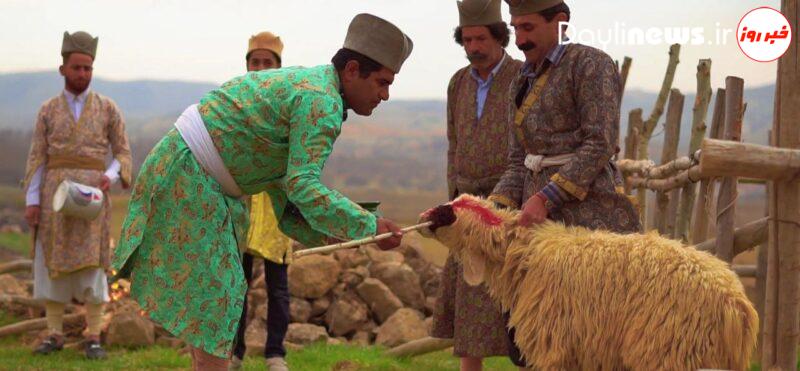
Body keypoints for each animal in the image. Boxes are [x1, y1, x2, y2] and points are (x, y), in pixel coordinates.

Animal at [416, 195, 760, 371]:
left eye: (447, 213)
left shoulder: (555, 345)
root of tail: (738, 303)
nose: (422, 217)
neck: (524, 253)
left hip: (672, 350)